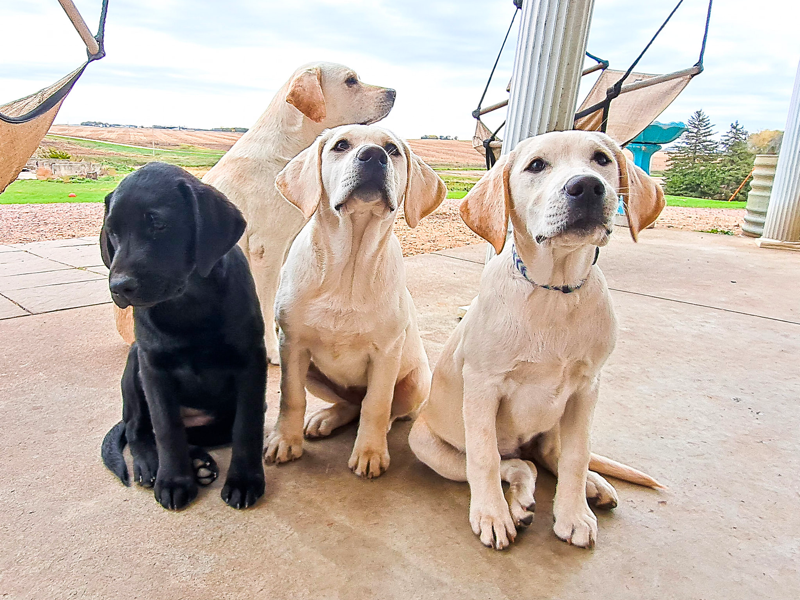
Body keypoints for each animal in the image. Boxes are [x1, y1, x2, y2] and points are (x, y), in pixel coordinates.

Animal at [100, 162, 268, 508]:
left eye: (158, 224)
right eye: (113, 231)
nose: (118, 287)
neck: (188, 304)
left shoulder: (251, 361)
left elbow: (247, 426)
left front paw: (245, 481)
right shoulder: (153, 368)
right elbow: (166, 429)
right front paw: (174, 480)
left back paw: (199, 460)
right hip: (134, 364)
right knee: (138, 429)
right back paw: (152, 465)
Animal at [114, 64, 396, 360]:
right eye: (351, 81)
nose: (394, 92)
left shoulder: (286, 246)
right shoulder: (267, 249)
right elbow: (265, 300)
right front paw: (272, 348)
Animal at [264, 125, 446, 478]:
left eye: (392, 150)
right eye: (341, 145)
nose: (373, 155)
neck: (348, 266)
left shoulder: (387, 353)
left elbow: (376, 404)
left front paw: (370, 452)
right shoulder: (291, 344)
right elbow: (290, 397)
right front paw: (284, 441)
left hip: (418, 380)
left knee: (381, 409)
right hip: (313, 373)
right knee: (348, 403)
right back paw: (325, 419)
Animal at [410, 130, 664, 548]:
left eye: (602, 159)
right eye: (536, 165)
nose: (587, 187)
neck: (553, 291)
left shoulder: (586, 390)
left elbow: (577, 456)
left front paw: (573, 514)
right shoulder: (482, 386)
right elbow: (484, 457)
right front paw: (492, 515)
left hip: (556, 423)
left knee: (547, 457)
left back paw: (592, 486)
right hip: (430, 446)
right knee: (517, 464)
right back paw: (520, 503)